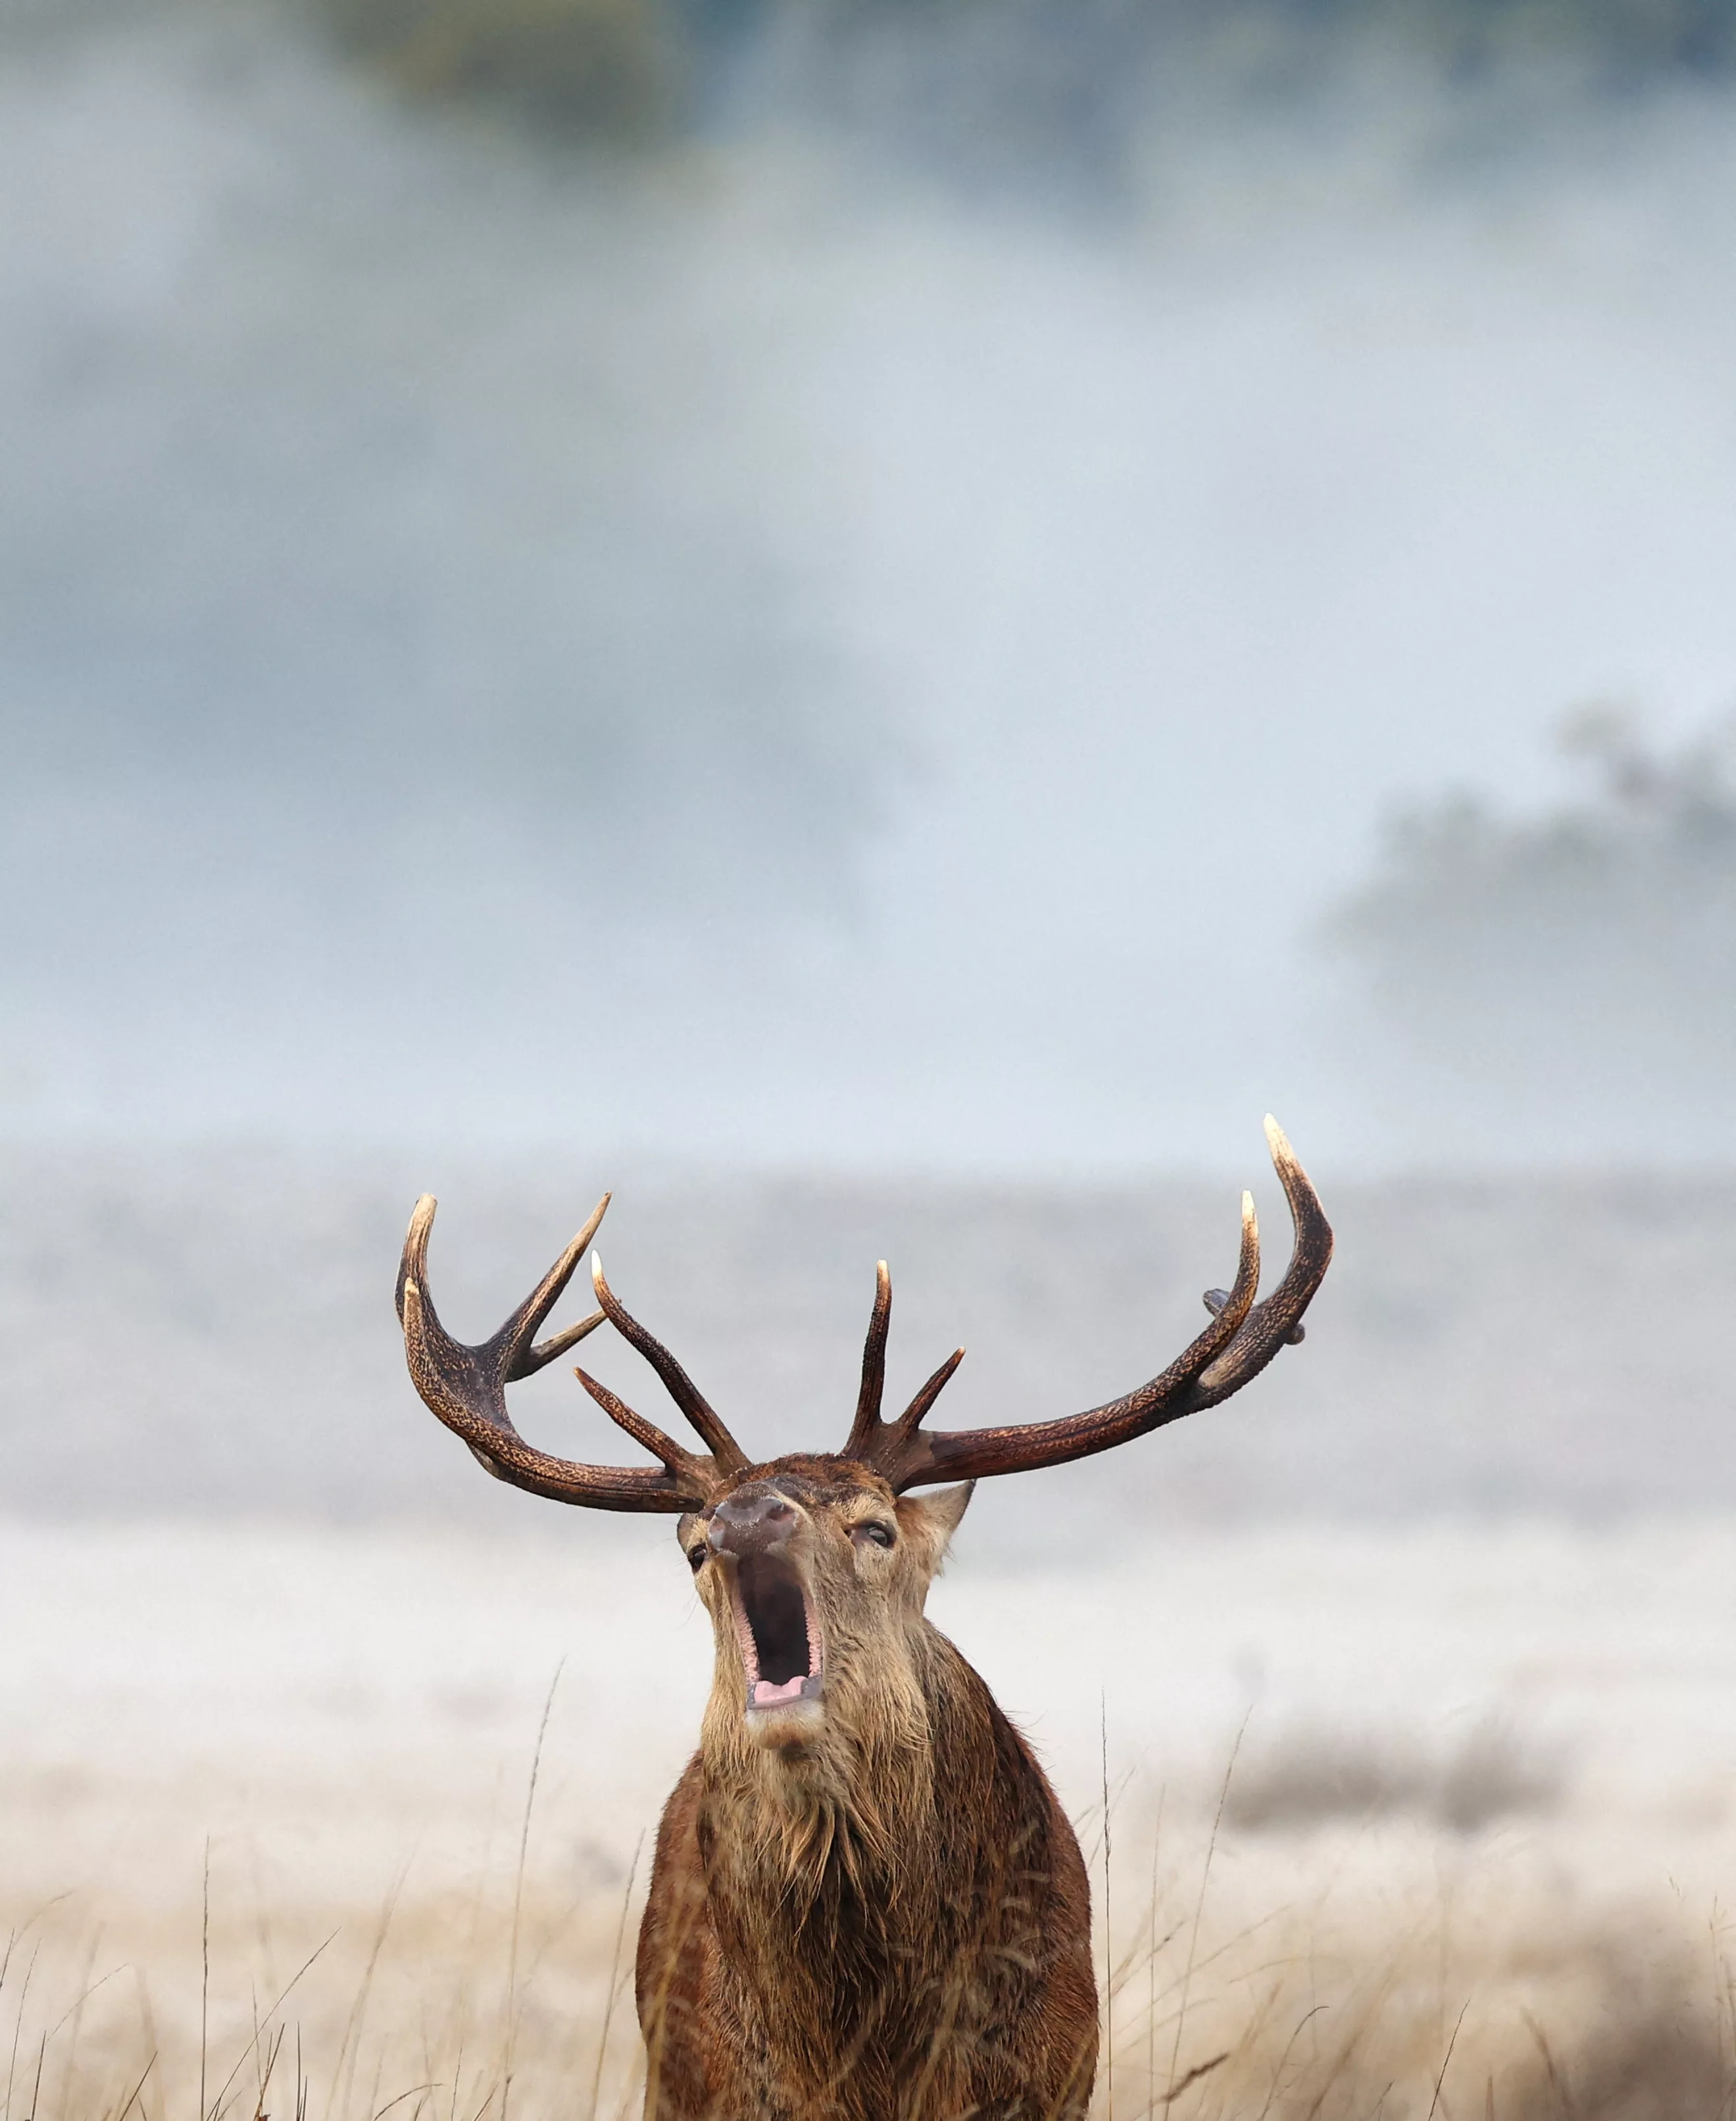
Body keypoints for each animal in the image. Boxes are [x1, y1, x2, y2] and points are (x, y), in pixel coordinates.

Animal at [401, 1120, 1339, 2112]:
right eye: (691, 1547)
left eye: (876, 1525)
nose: (744, 1516)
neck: (865, 2051)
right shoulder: (716, 2087)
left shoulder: (1047, 2081)